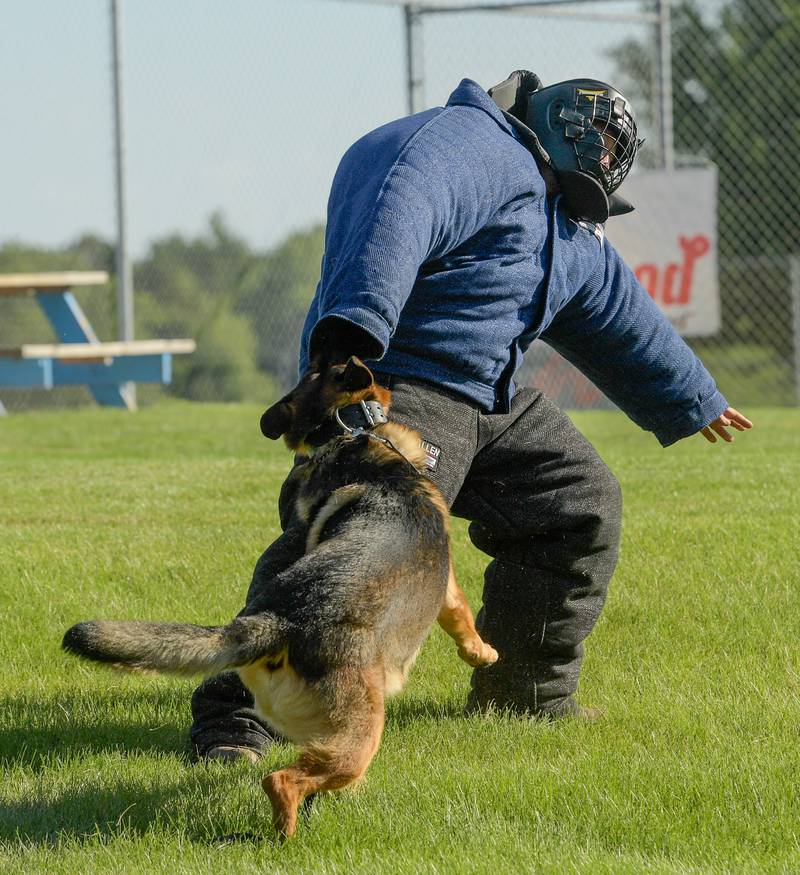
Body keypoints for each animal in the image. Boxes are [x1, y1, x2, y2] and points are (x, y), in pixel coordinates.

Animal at [62, 358, 496, 840]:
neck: (349, 435)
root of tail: (280, 620)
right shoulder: (449, 585)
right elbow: (461, 619)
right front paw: (482, 653)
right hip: (361, 732)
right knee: (282, 780)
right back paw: (285, 834)